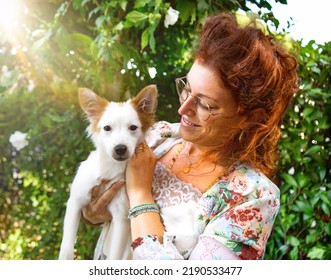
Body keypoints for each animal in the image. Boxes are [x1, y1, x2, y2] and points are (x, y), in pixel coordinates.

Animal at [58, 85, 158, 260]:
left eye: (133, 127)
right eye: (107, 128)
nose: (120, 148)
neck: (111, 167)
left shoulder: (121, 219)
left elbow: (114, 256)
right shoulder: (75, 202)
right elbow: (67, 247)